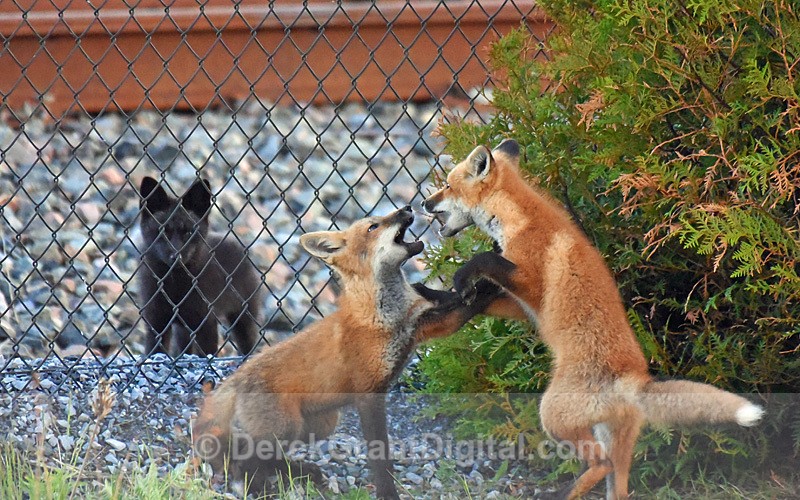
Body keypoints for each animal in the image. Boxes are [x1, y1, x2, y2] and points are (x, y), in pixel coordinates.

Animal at [137, 176, 263, 357]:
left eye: (189, 233)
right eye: (163, 232)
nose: (176, 256)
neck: (175, 285)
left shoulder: (205, 323)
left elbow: (207, 355)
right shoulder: (156, 323)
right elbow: (154, 352)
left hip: (243, 317)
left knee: (248, 346)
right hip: (183, 332)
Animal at [192, 207, 499, 499]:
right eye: (374, 227)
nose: (407, 208)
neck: (387, 316)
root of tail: (238, 375)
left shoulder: (428, 324)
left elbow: (470, 304)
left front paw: (494, 276)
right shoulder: (369, 394)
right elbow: (379, 456)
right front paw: (387, 493)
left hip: (320, 424)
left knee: (259, 454)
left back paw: (298, 473)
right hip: (286, 427)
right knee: (247, 458)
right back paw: (258, 487)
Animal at [422, 139, 765, 499]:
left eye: (447, 186)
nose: (423, 202)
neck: (518, 218)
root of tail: (635, 379)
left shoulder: (530, 281)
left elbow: (485, 259)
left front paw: (461, 278)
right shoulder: (524, 304)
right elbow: (480, 297)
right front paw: (444, 298)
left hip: (553, 414)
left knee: (600, 464)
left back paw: (556, 494)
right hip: (612, 438)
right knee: (615, 480)